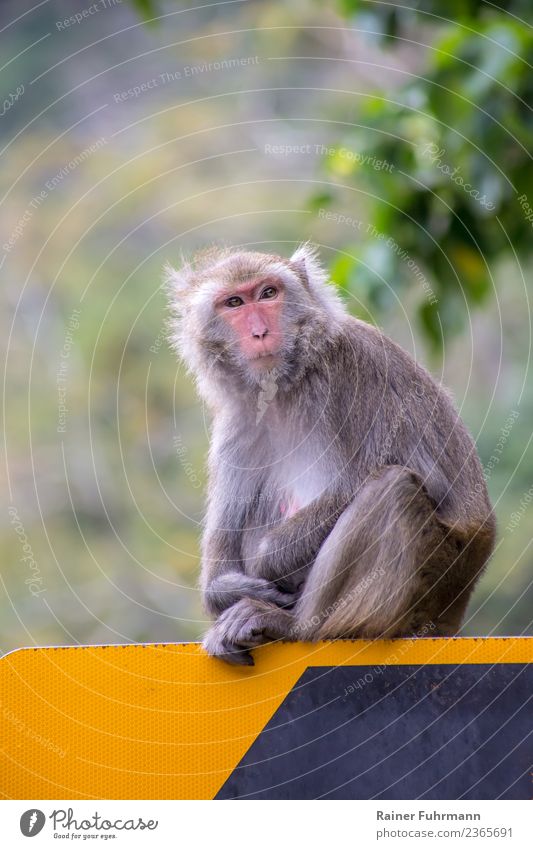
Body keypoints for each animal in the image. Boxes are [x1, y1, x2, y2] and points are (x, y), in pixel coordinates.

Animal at [165, 242, 494, 664]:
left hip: (433, 586)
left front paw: (267, 562)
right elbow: (221, 555)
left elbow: (416, 483)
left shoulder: (352, 375)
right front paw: (227, 588)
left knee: (393, 489)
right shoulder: (240, 419)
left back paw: (294, 626)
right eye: (234, 302)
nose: (260, 332)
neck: (286, 386)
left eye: (268, 293)